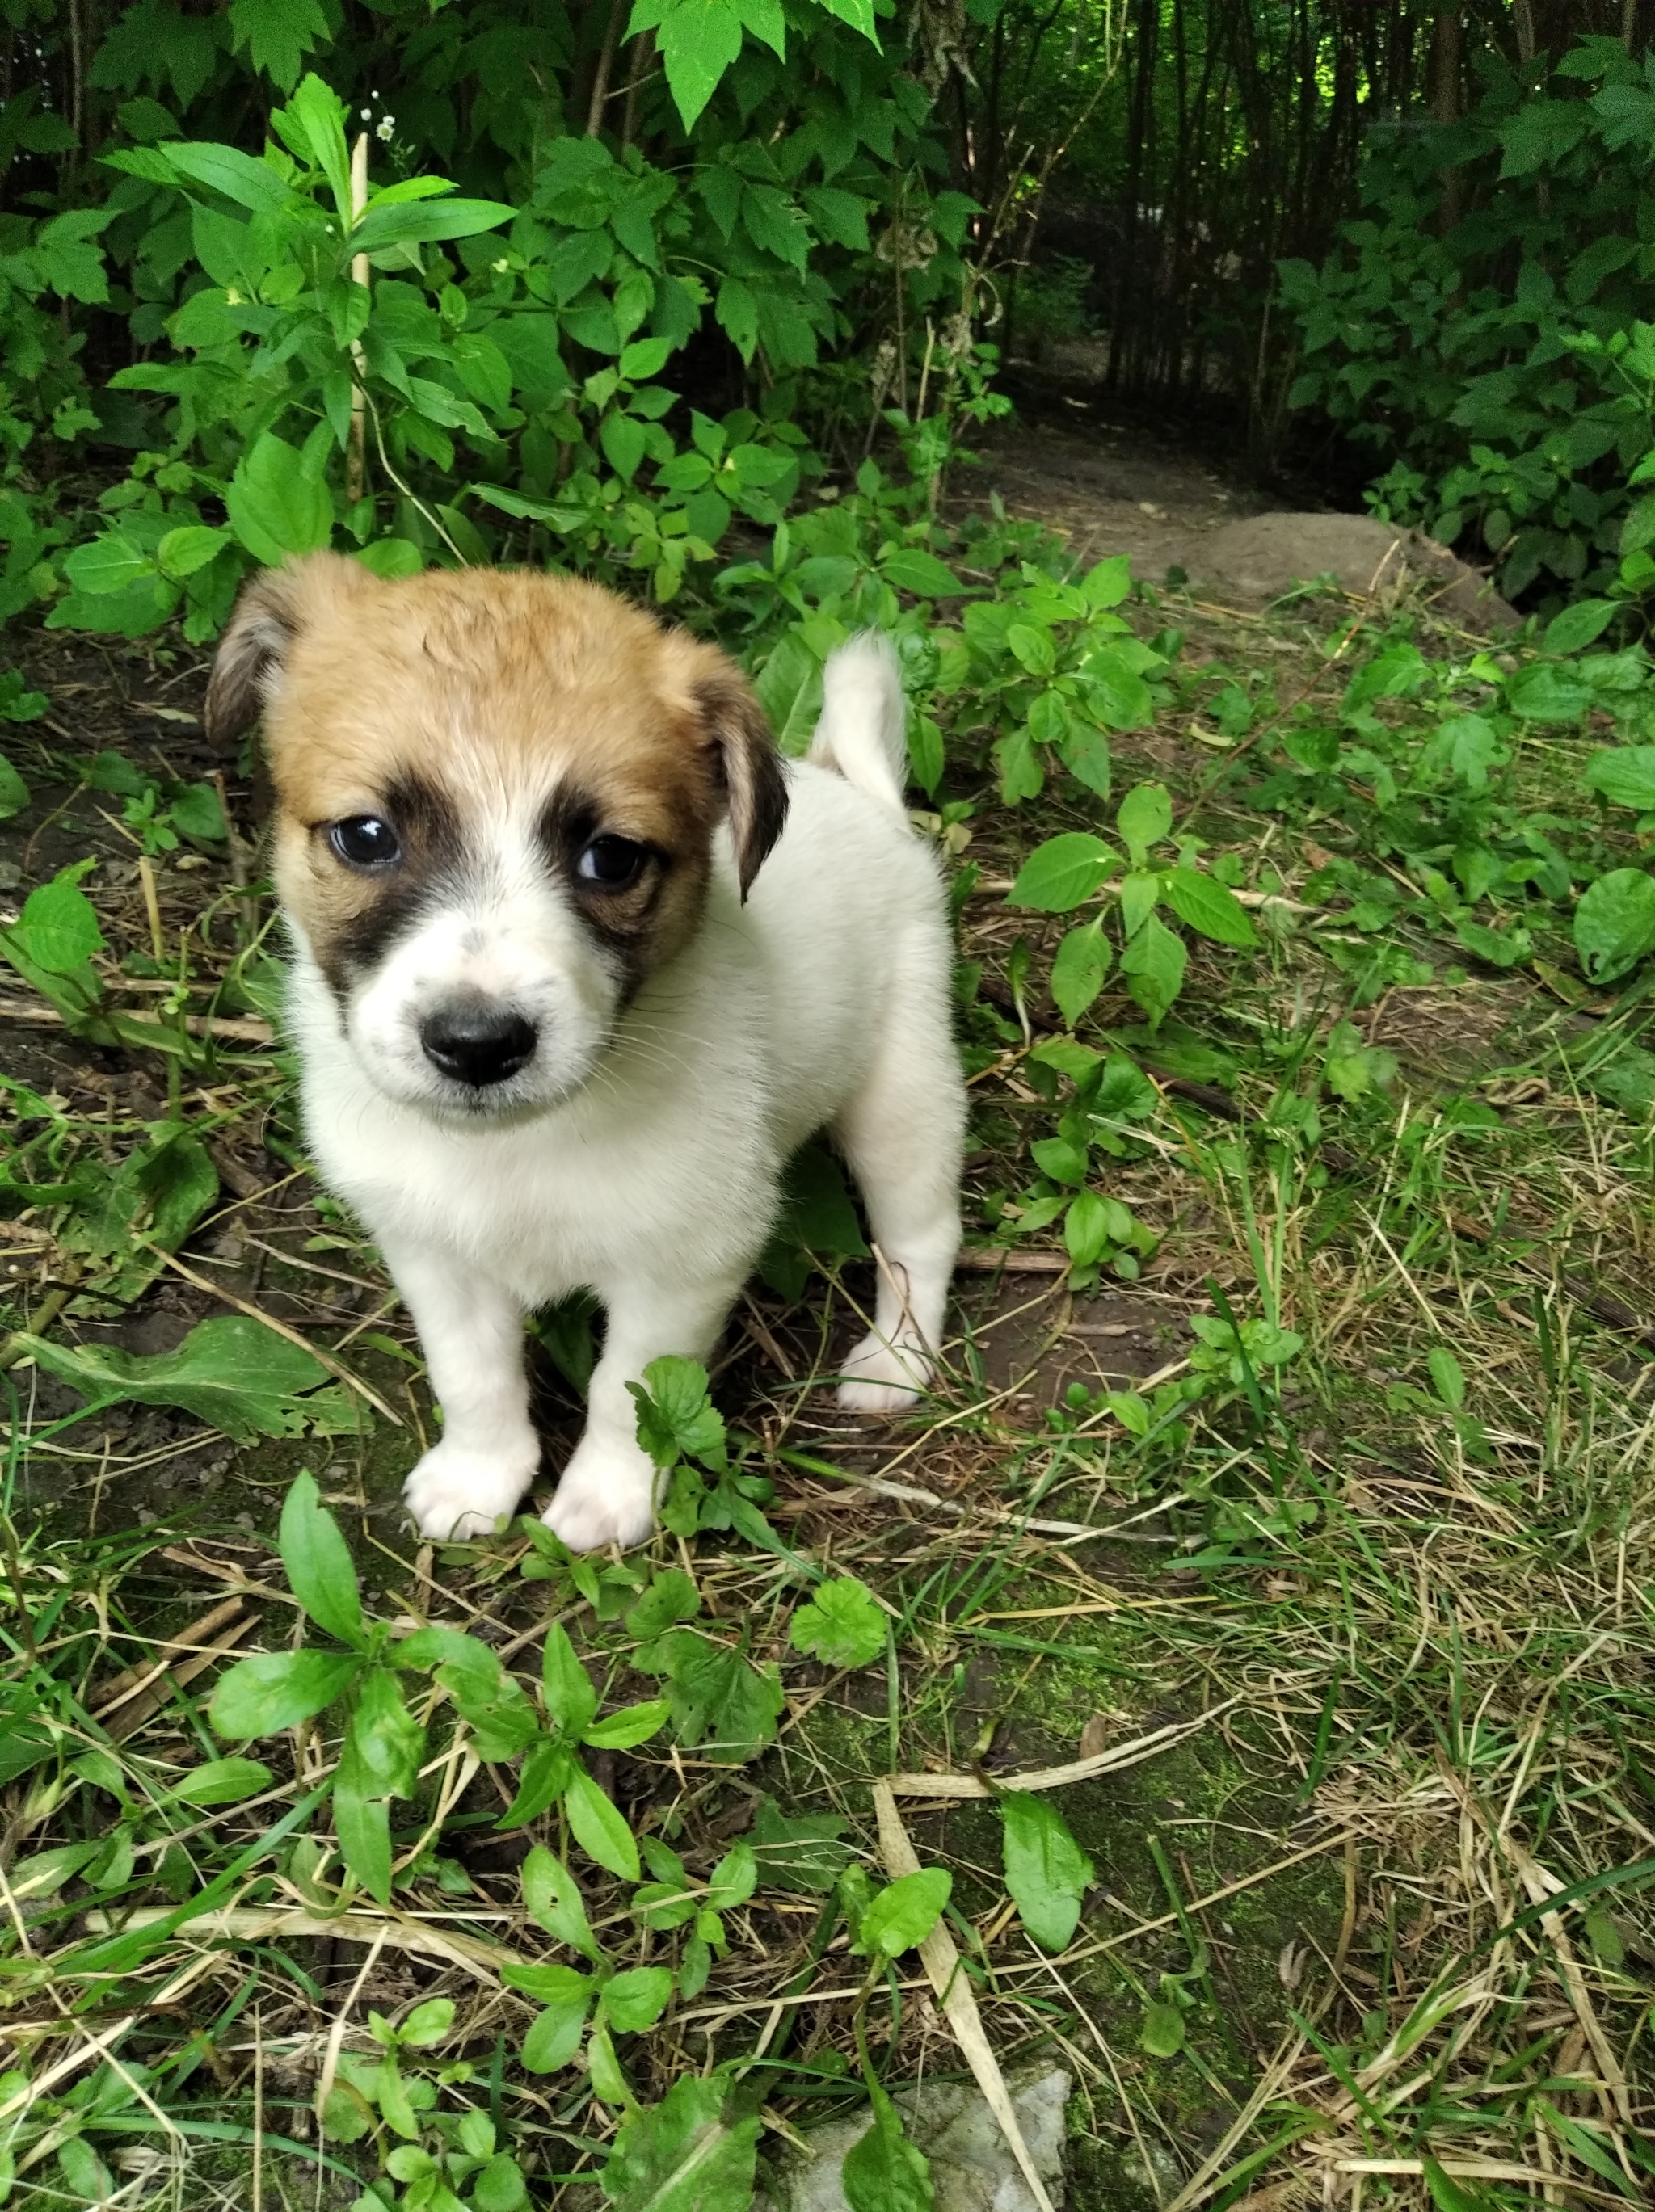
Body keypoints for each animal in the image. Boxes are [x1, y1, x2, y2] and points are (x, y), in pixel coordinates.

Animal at [202, 561, 964, 1548]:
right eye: (366, 836)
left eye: (612, 857)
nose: (477, 1044)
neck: (515, 1152)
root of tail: (863, 800)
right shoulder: (433, 1256)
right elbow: (473, 1378)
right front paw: (479, 1476)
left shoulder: (683, 1264)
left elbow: (626, 1394)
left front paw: (605, 1497)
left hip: (902, 1089)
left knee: (920, 1232)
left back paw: (893, 1361)